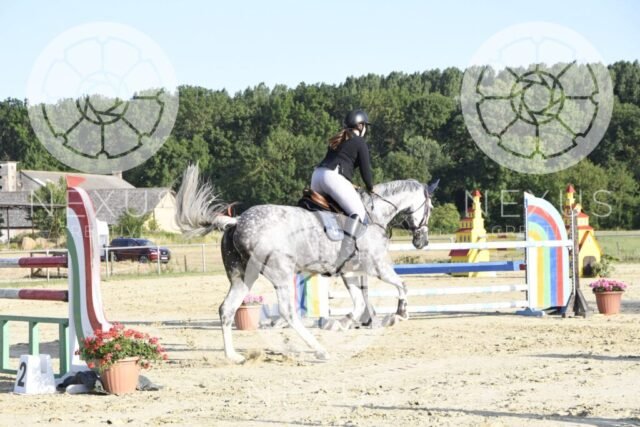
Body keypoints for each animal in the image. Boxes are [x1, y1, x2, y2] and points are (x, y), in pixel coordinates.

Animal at [174, 165, 437, 363]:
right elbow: (402, 285)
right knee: (288, 313)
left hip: (243, 277)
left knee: (227, 309)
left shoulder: (350, 272)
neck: (374, 215)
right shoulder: (378, 267)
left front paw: (341, 323)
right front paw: (399, 314)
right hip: (281, 273)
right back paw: (320, 350)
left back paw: (234, 356)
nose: (422, 241)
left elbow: (360, 303)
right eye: (430, 207)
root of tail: (236, 222)